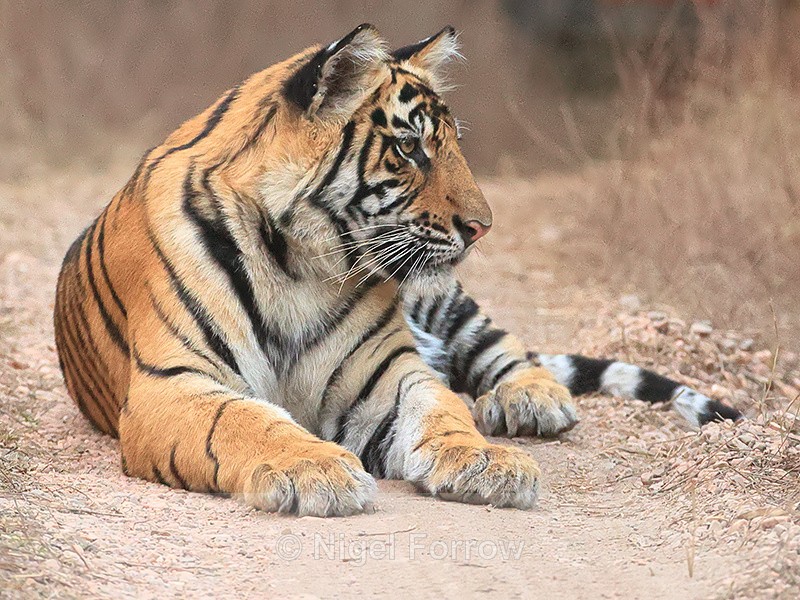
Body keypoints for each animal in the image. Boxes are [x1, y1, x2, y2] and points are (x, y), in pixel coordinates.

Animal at [53, 24, 742, 517]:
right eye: (410, 148)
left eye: (454, 143)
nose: (484, 225)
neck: (294, 264)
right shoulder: (173, 383)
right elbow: (246, 420)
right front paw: (316, 469)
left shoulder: (386, 376)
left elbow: (443, 410)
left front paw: (489, 462)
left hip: (442, 299)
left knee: (505, 349)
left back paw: (530, 401)